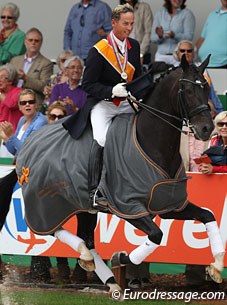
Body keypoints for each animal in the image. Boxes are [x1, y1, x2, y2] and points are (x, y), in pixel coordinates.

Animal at [15, 53, 225, 288]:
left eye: (206, 88)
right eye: (188, 90)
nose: (206, 129)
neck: (151, 143)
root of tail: (28, 142)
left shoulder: (169, 204)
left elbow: (208, 216)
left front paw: (216, 266)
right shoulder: (128, 206)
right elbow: (156, 235)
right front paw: (120, 258)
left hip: (83, 207)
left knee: (87, 240)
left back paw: (104, 275)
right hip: (46, 202)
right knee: (51, 230)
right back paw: (89, 259)